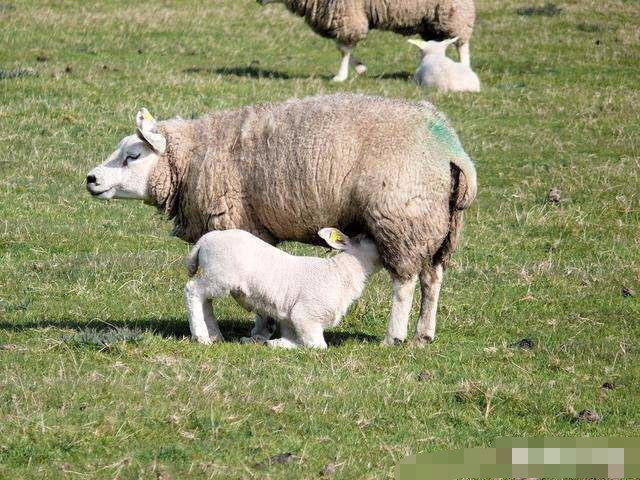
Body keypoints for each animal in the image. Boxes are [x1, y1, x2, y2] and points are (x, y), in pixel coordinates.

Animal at [182, 227, 380, 346]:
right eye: (369, 238)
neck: (341, 273)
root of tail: (204, 240)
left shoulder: (290, 319)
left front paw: (266, 341)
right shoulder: (305, 316)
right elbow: (316, 345)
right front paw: (277, 343)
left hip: (215, 277)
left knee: (206, 300)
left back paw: (214, 335)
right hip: (220, 275)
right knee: (193, 290)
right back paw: (201, 336)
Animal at [256, 0, 476, 81]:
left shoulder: (348, 14)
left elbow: (344, 48)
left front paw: (340, 76)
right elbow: (341, 46)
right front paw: (360, 68)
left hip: (454, 12)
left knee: (462, 43)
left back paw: (464, 69)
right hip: (431, 21)